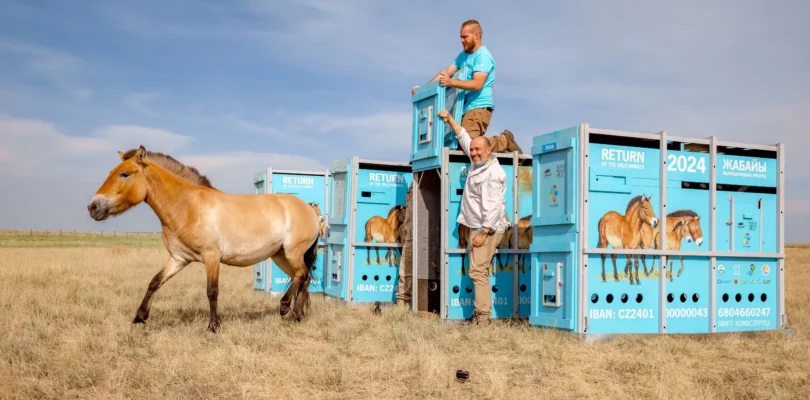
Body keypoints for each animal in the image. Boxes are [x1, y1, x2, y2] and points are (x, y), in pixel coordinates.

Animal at [85, 145, 318, 332]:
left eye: (124, 174)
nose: (93, 207)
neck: (189, 207)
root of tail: (311, 209)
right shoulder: (178, 259)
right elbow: (154, 283)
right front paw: (139, 318)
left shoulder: (211, 257)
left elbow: (212, 291)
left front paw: (213, 326)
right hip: (280, 255)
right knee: (303, 278)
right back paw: (297, 315)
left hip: (292, 252)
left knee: (300, 275)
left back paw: (285, 307)